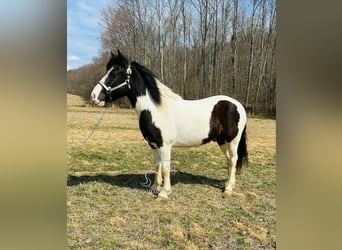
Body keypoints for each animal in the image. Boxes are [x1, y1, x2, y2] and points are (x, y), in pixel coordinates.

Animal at [89, 49, 247, 198]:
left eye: (117, 72)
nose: (94, 96)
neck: (155, 109)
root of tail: (238, 105)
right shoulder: (153, 145)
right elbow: (156, 166)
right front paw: (155, 187)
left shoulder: (164, 145)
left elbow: (165, 168)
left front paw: (164, 193)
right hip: (222, 141)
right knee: (229, 160)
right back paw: (228, 184)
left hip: (232, 141)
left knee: (233, 160)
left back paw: (228, 189)